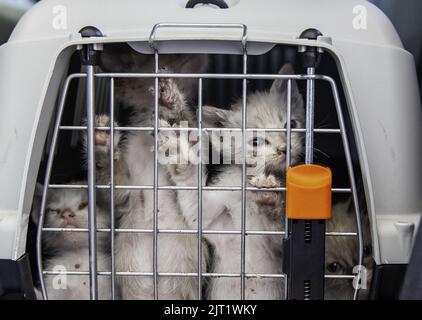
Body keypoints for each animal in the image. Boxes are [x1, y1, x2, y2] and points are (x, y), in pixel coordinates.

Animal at [160, 63, 304, 298]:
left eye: (291, 123)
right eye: (255, 141)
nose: (284, 148)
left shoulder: (281, 250)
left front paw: (268, 201)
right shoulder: (212, 221)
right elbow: (195, 204)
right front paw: (178, 153)